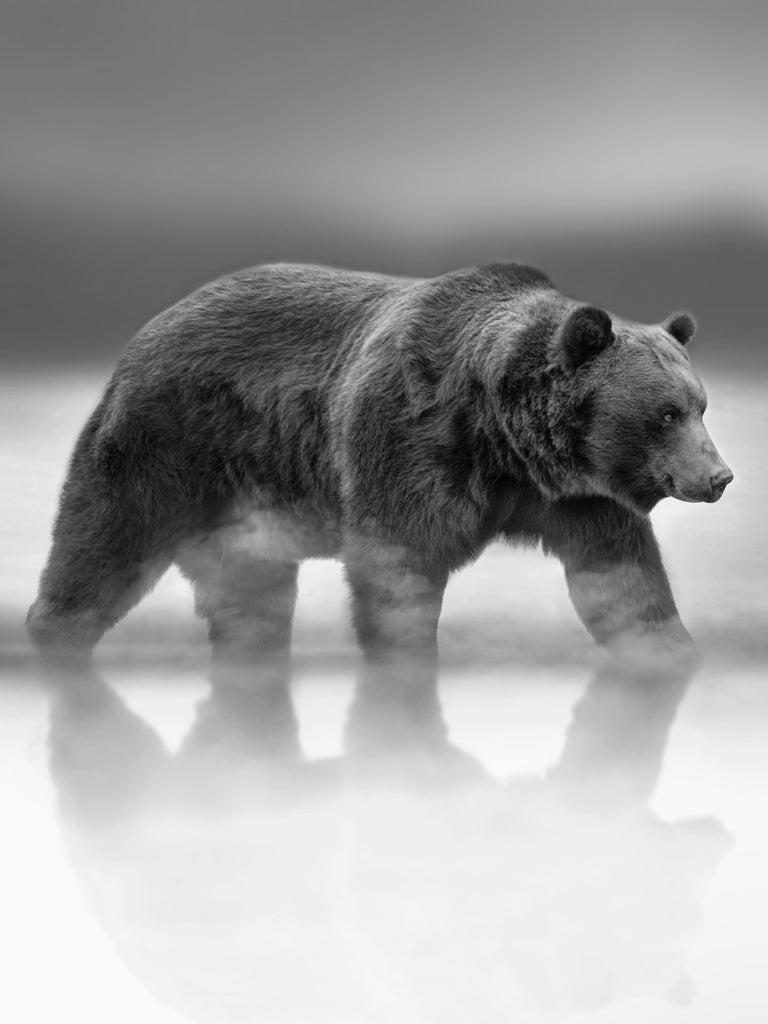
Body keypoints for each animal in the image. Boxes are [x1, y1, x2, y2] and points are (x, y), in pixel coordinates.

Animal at [27, 261, 733, 751]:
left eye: (700, 404)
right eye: (664, 413)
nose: (718, 476)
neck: (507, 442)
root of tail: (146, 331)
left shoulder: (577, 495)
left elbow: (623, 583)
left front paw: (673, 653)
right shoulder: (410, 446)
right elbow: (399, 576)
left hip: (246, 512)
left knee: (250, 602)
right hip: (165, 448)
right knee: (102, 548)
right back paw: (55, 638)